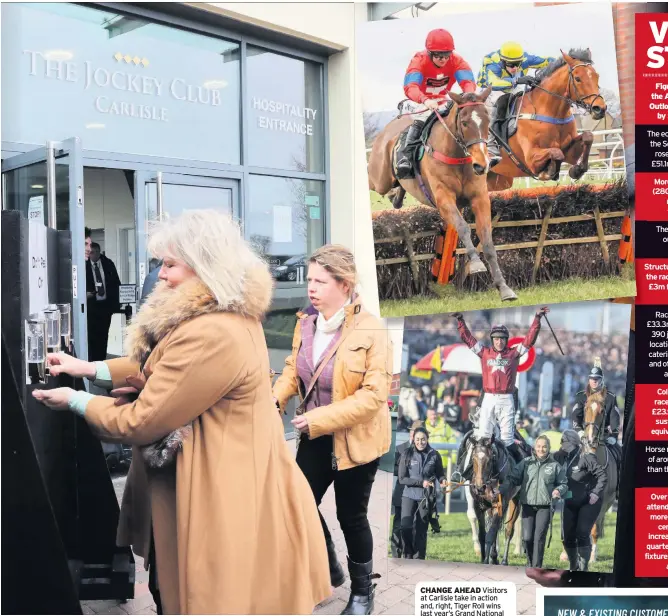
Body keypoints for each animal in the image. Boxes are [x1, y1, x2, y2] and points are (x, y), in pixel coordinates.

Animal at [370, 88, 516, 302]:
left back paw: (396, 195)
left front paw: (504, 288)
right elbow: (463, 227)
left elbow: (487, 240)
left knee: (396, 196)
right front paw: (476, 263)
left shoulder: (480, 198)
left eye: (487, 120)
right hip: (378, 178)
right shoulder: (444, 199)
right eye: (464, 122)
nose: (482, 164)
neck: (458, 157)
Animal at [488, 49, 608, 190]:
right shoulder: (530, 158)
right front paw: (548, 171)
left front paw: (577, 170)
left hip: (498, 181)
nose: (599, 109)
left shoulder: (570, 151)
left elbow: (588, 137)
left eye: (596, 76)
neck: (552, 113)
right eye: (578, 78)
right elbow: (556, 152)